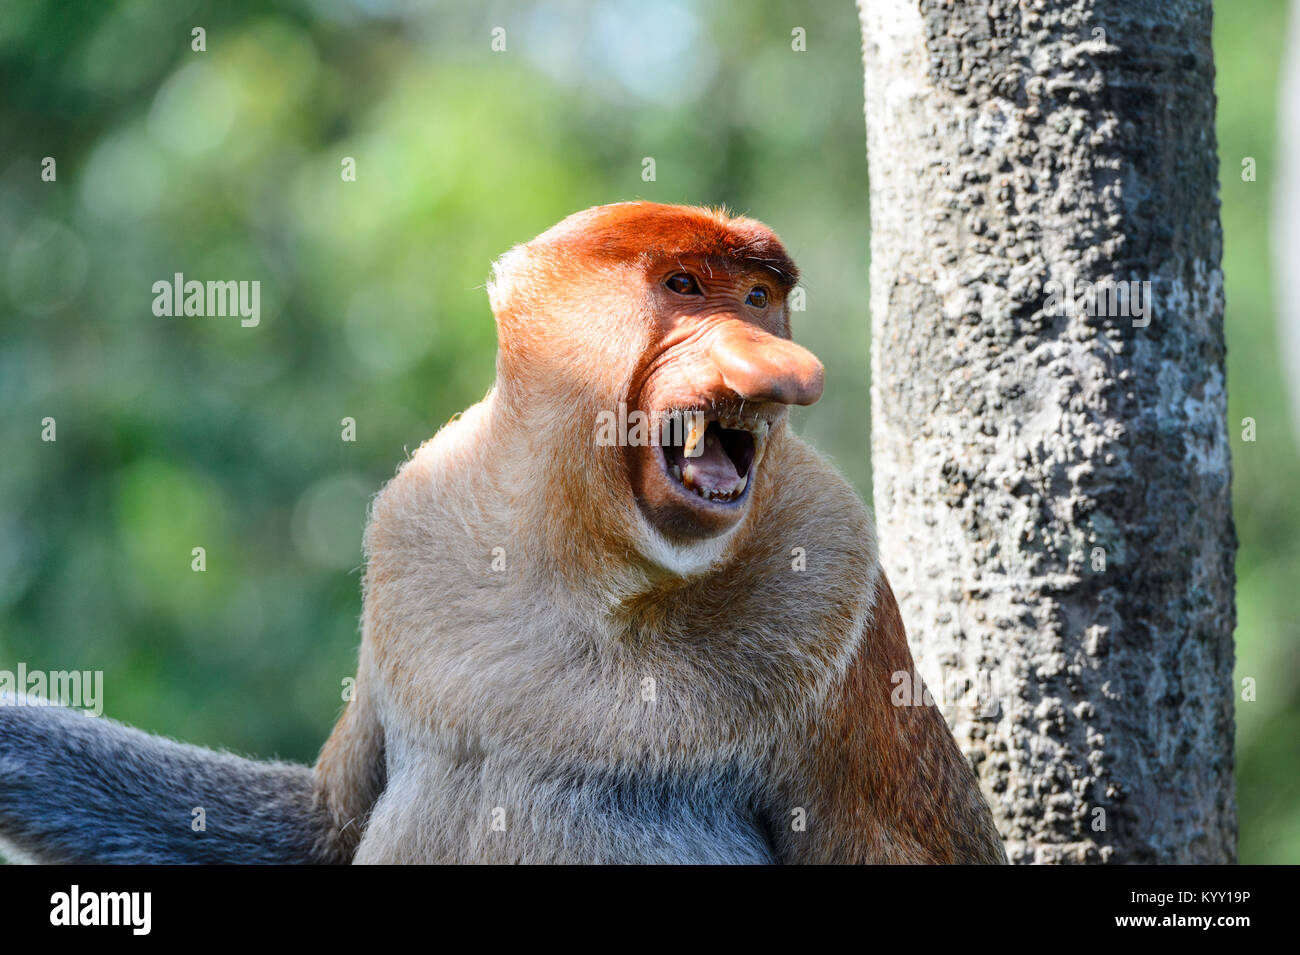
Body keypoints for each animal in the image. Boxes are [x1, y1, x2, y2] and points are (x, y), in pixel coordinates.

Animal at [0, 202, 1006, 864]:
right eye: (683, 285)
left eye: (760, 297)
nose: (786, 368)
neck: (589, 569)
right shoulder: (414, 527)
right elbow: (328, 824)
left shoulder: (837, 590)